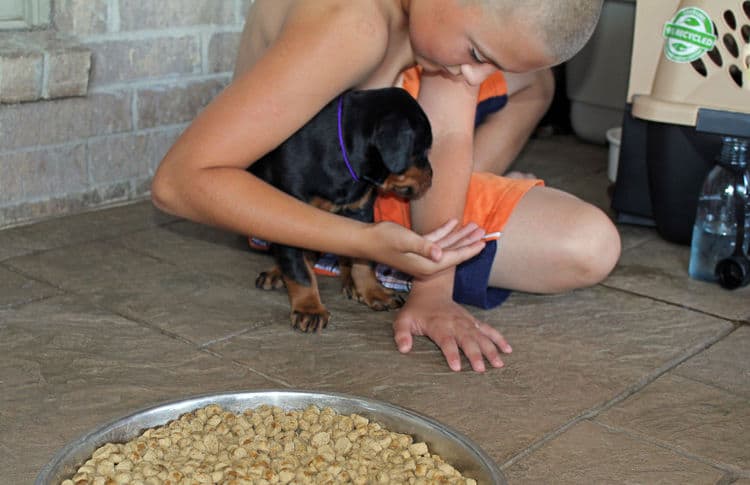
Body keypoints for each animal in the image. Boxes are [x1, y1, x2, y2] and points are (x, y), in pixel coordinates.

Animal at [250, 87, 432, 330]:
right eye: (423, 150)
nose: (432, 176)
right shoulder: (288, 214)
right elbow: (299, 269)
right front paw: (309, 308)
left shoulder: (360, 213)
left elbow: (363, 260)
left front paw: (374, 292)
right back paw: (277, 273)